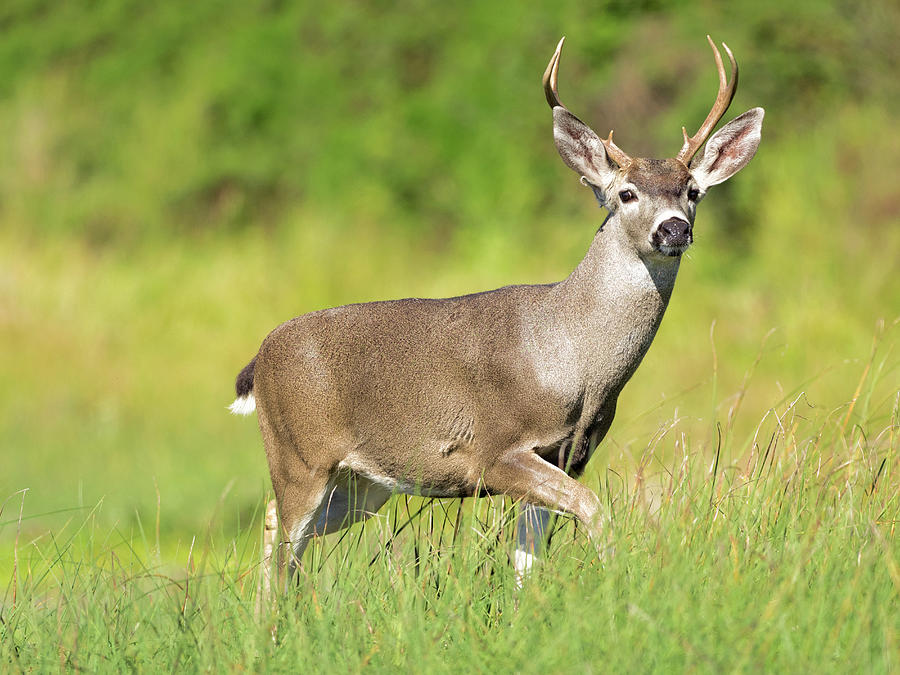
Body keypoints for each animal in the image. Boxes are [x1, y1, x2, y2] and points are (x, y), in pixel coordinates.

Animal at [232, 34, 768, 596]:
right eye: (626, 193)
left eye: (693, 191)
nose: (674, 229)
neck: (574, 363)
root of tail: (258, 362)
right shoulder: (495, 449)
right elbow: (594, 510)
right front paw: (620, 586)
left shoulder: (567, 455)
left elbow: (528, 558)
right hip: (299, 454)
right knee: (282, 535)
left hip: (362, 483)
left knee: (279, 527)